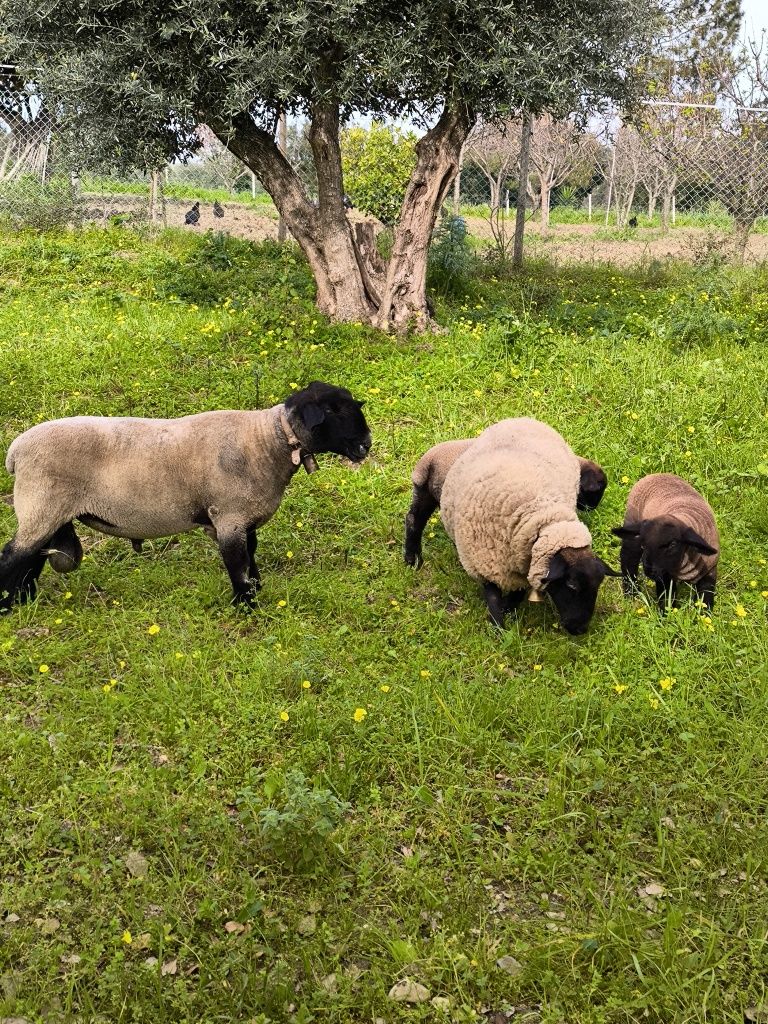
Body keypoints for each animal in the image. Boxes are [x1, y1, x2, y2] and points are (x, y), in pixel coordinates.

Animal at [0, 382, 372, 606]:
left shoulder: (245, 519)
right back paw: (8, 605)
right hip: (41, 504)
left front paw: (257, 592)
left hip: (48, 513)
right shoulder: (228, 517)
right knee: (13, 555)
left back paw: (23, 600)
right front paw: (245, 605)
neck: (266, 440)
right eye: (335, 411)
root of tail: (16, 452)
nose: (367, 444)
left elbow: (251, 559)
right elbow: (238, 565)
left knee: (32, 557)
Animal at [405, 432, 610, 569]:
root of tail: (427, 464)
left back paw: (412, 559)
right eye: (596, 492)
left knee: (413, 520)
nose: (592, 507)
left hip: (424, 494)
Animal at [436, 415, 622, 630]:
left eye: (598, 585)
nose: (579, 629)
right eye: (571, 585)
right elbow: (492, 599)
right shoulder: (482, 566)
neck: (539, 520)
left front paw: (508, 610)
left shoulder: (521, 568)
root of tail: (523, 418)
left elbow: (517, 594)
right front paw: (499, 626)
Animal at [614, 471, 720, 606]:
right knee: (628, 558)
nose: (649, 570)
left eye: (672, 544)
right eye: (644, 544)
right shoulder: (664, 576)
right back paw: (631, 593)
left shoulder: (710, 572)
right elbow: (666, 599)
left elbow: (705, 598)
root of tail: (656, 474)